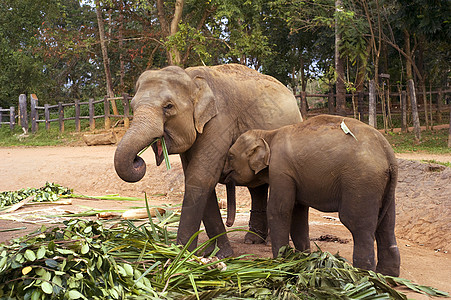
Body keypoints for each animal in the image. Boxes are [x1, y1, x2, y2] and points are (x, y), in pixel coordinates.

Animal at [114, 63, 304, 258]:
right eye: (132, 106)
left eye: (168, 106)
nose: (138, 159)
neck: (192, 79)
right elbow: (200, 180)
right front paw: (214, 254)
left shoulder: (219, 122)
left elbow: (200, 178)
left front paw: (181, 255)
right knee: (256, 188)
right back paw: (252, 240)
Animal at [226, 115, 402, 276]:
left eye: (231, 156)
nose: (228, 225)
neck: (268, 134)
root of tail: (388, 153)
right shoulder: (295, 177)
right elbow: (298, 213)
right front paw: (302, 259)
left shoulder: (280, 171)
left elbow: (280, 210)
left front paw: (279, 264)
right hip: (383, 188)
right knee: (387, 226)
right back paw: (387, 274)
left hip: (361, 182)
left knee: (357, 225)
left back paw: (364, 275)